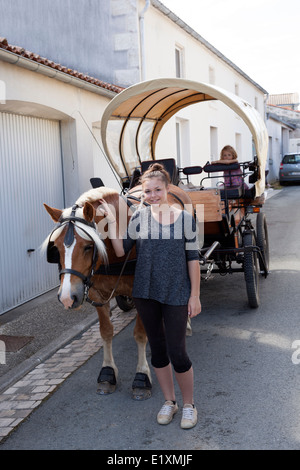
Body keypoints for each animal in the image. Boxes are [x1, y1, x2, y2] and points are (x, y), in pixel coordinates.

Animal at [43, 184, 195, 400]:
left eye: (88, 246)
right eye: (55, 248)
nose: (67, 298)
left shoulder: (141, 294)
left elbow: (140, 334)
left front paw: (142, 376)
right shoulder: (97, 294)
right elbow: (106, 331)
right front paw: (107, 373)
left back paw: (187, 323)